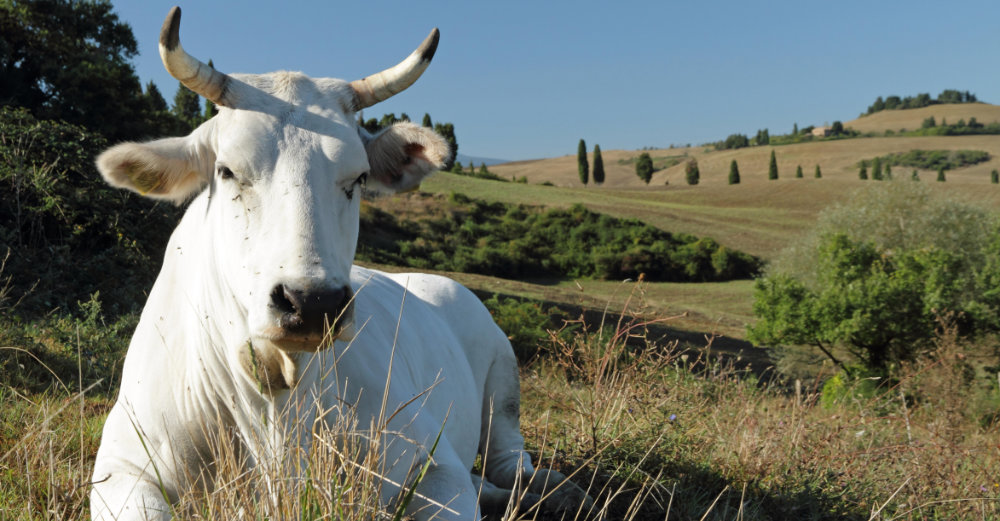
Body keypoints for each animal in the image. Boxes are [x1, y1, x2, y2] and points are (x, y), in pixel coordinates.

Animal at [90, 7, 592, 520]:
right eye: (227, 171)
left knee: (510, 460)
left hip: (503, 379)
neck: (276, 392)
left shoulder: (434, 462)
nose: (312, 303)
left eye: (359, 177)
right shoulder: (121, 467)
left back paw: (555, 489)